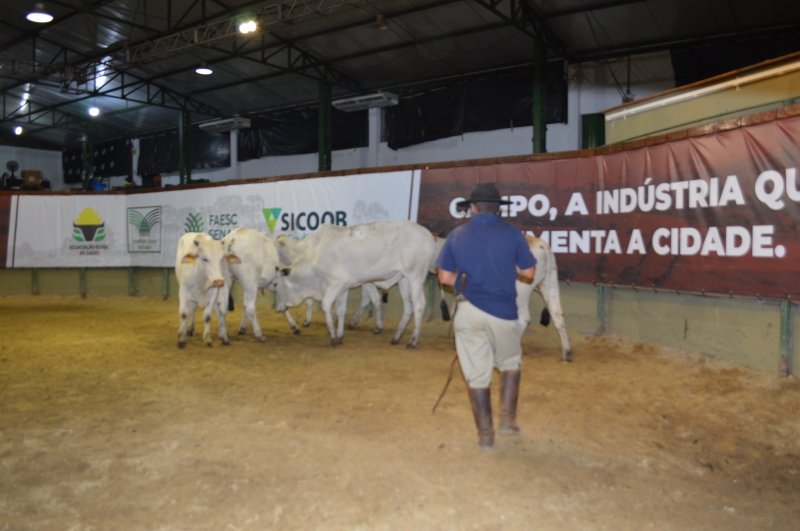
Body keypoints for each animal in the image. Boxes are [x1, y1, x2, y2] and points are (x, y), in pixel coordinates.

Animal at [276, 221, 438, 350]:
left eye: (276, 284)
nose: (277, 308)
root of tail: (428, 235)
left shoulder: (336, 282)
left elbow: (325, 305)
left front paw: (333, 337)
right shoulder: (343, 287)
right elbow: (341, 310)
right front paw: (340, 334)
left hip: (415, 277)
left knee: (419, 305)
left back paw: (413, 341)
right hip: (403, 279)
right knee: (408, 306)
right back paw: (396, 337)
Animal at [516, 236, 572, 364]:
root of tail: (539, 243)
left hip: (520, 290)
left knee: (524, 318)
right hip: (550, 283)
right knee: (556, 313)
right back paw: (566, 353)